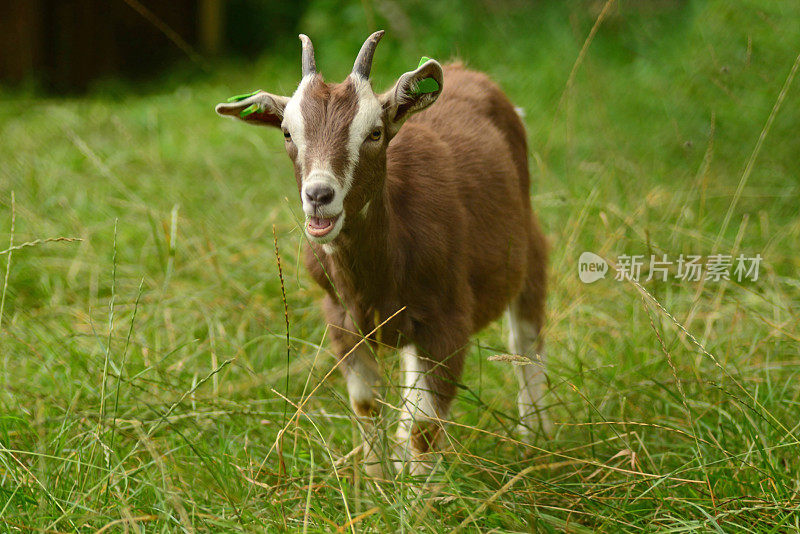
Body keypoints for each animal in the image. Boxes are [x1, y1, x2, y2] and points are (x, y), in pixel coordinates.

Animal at [214, 31, 552, 480]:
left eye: (374, 132)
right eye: (287, 133)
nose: (319, 195)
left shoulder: (448, 320)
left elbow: (427, 428)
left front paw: (419, 494)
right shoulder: (342, 318)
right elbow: (366, 404)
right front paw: (378, 483)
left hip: (527, 246)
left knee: (525, 338)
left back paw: (536, 438)